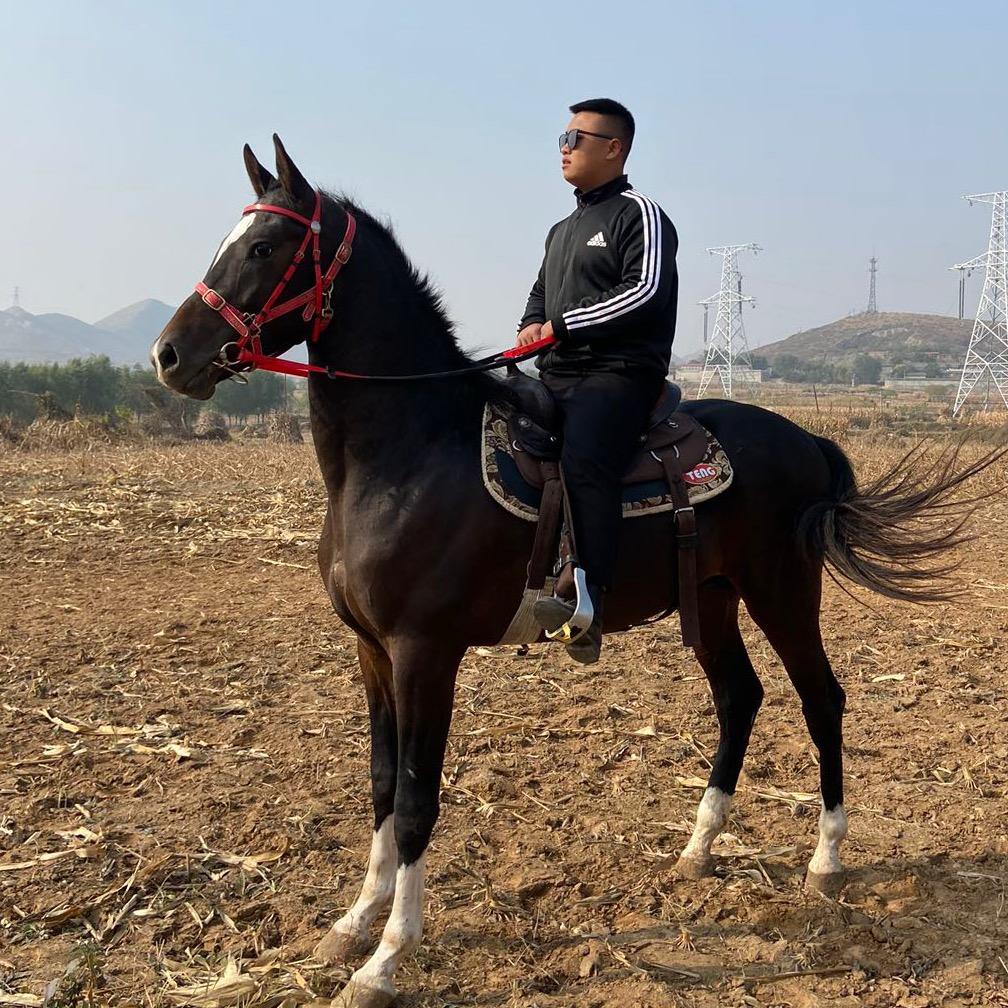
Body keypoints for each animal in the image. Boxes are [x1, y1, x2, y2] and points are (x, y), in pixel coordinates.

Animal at [152, 136, 996, 1007]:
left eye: (263, 247)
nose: (170, 355)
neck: (408, 456)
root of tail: (808, 441)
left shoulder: (426, 653)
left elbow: (418, 799)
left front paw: (387, 957)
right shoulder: (372, 652)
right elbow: (383, 786)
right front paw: (353, 925)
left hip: (784, 594)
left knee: (821, 698)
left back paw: (825, 859)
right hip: (714, 599)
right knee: (741, 697)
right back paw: (698, 848)